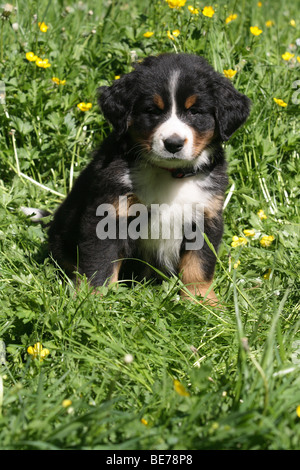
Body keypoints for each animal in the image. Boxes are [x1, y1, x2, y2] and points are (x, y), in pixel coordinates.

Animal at [48, 53, 251, 302]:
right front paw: (93, 300)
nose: (173, 144)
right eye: (152, 110)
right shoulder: (109, 214)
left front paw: (202, 301)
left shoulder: (205, 216)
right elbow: (100, 263)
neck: (170, 175)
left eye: (195, 112)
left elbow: (199, 265)